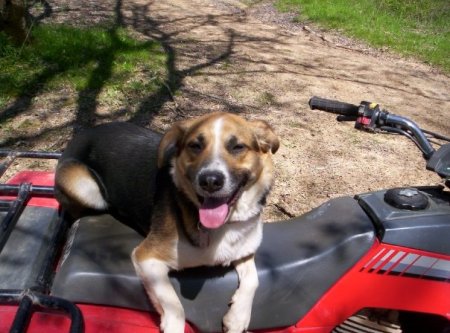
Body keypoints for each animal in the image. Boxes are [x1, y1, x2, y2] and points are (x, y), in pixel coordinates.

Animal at [54, 112, 280, 332]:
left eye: (237, 147)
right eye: (195, 146)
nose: (209, 181)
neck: (224, 225)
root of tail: (78, 137)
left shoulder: (244, 249)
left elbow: (253, 279)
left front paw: (237, 318)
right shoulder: (147, 258)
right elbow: (174, 305)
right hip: (83, 186)